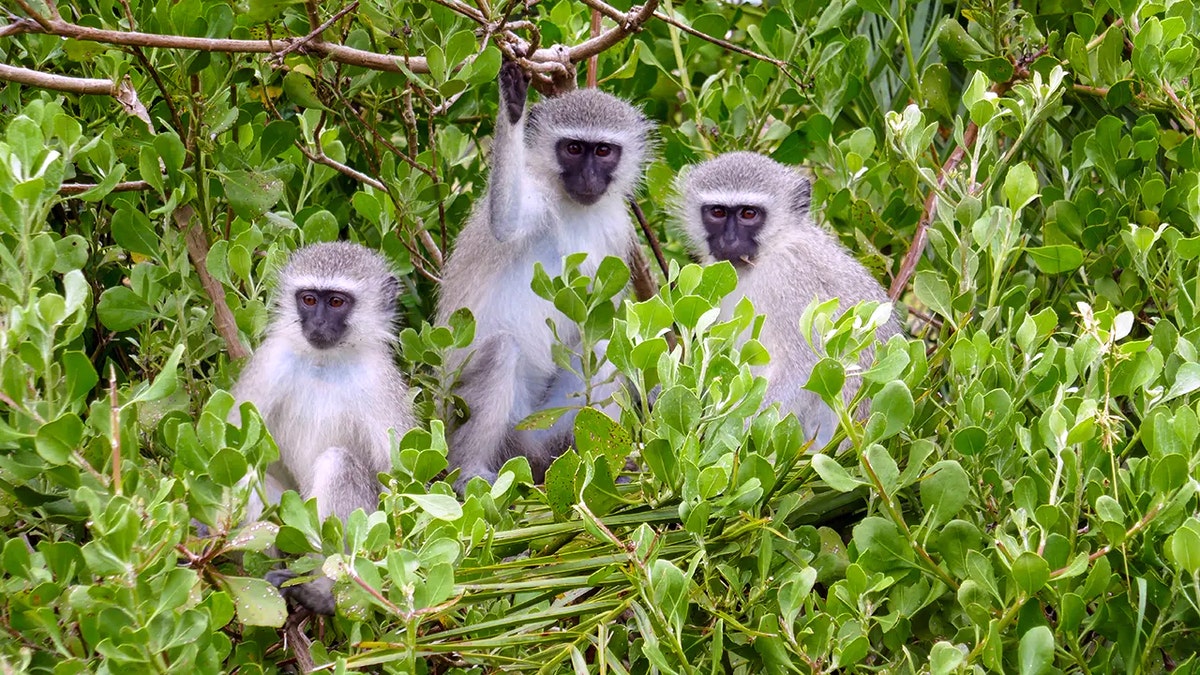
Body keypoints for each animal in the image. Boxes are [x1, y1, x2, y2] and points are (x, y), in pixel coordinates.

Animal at [229, 241, 417, 614]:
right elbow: (228, 444)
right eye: (309, 299)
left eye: (336, 302)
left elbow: (398, 481)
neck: (324, 362)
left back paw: (322, 593)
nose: (316, 323)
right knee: (247, 469)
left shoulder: (379, 380)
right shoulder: (270, 360)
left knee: (338, 463)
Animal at [436, 60, 653, 490]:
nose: (588, 179)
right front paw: (513, 106)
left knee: (605, 346)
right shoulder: (536, 194)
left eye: (603, 151)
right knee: (502, 352)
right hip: (478, 416)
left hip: (549, 424)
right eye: (573, 148)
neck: (576, 207)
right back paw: (468, 471)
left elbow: (603, 318)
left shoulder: (618, 230)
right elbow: (505, 224)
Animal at [676, 152, 902, 447]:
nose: (729, 240)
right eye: (717, 212)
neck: (768, 253)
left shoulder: (791, 280)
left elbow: (805, 366)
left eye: (749, 213)